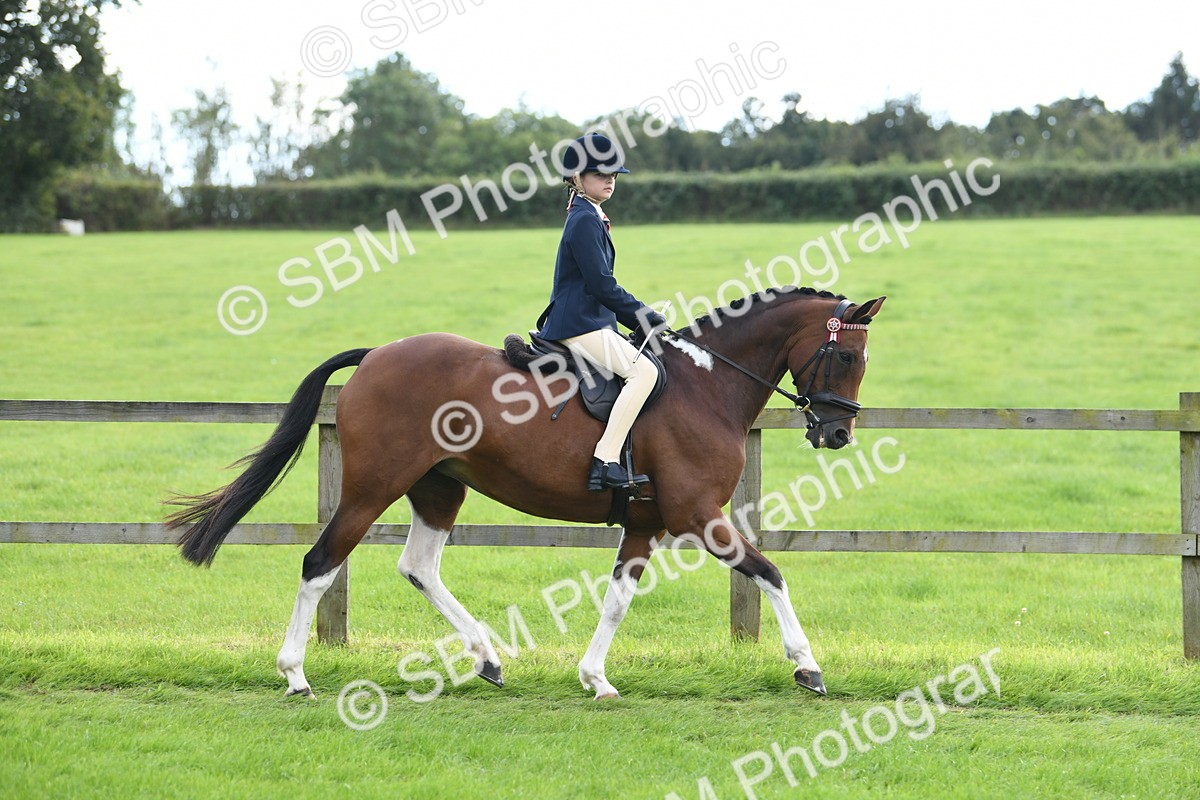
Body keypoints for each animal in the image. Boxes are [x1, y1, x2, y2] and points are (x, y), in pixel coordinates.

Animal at [166, 286, 885, 700]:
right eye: (849, 357)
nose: (838, 433)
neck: (707, 386)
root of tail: (375, 355)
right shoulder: (698, 515)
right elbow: (770, 572)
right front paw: (807, 667)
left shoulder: (647, 523)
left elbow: (617, 600)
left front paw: (595, 678)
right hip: (373, 487)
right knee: (321, 563)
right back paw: (294, 674)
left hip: (437, 489)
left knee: (418, 566)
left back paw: (487, 658)